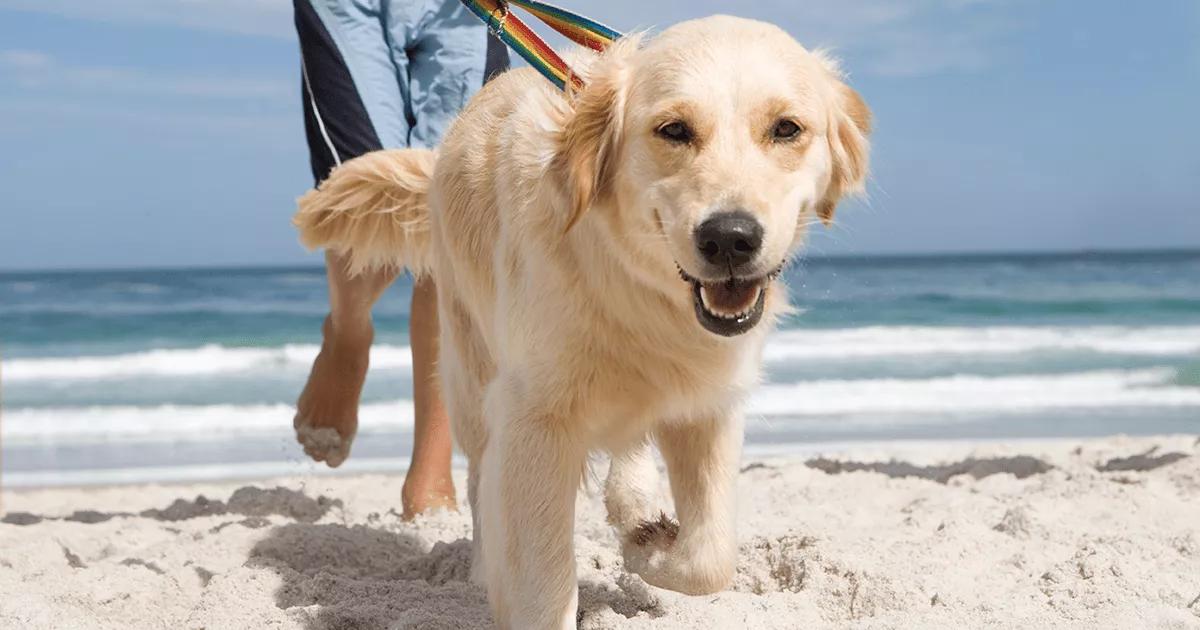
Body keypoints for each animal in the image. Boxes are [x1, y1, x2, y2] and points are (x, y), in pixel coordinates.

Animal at [294, 14, 868, 628]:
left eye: (787, 129)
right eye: (674, 130)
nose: (730, 239)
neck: (637, 286)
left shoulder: (708, 405)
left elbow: (711, 560)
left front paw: (648, 545)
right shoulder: (532, 415)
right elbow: (541, 578)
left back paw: (634, 503)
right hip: (470, 371)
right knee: (477, 473)